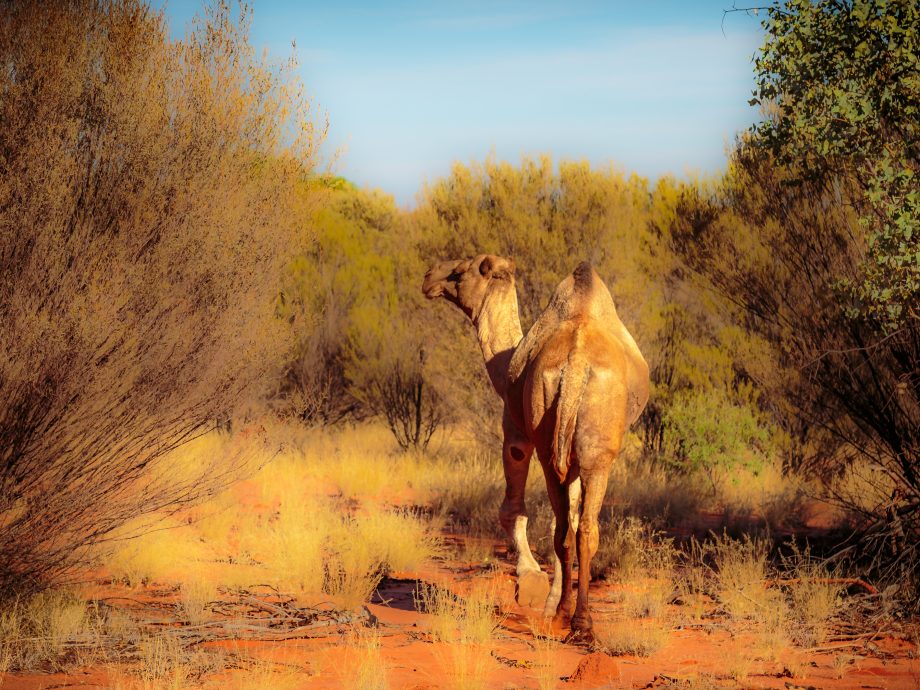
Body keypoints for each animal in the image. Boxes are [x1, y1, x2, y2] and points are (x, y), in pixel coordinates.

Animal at [422, 255, 649, 638]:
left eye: (460, 271)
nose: (428, 278)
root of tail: (576, 362)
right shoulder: (568, 457)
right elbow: (569, 517)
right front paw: (551, 597)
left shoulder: (515, 434)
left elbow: (511, 510)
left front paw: (530, 583)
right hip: (588, 454)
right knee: (579, 528)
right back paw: (577, 621)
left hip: (551, 444)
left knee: (564, 526)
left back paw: (568, 616)